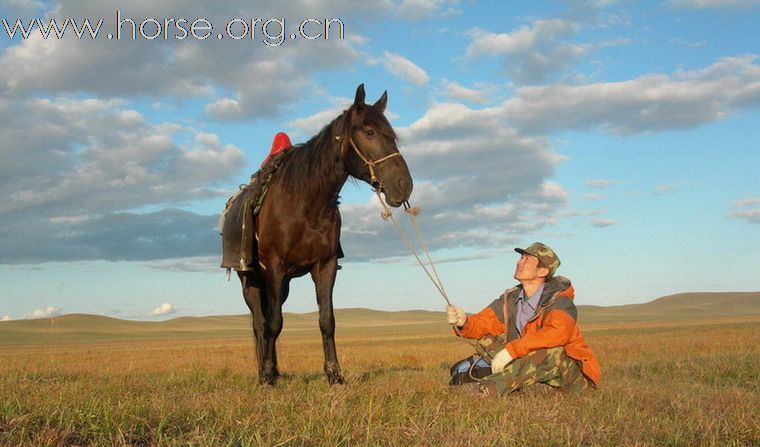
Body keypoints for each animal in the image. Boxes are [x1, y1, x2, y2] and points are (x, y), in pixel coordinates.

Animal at [227, 85, 416, 384]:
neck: (305, 202)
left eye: (392, 135)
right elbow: (274, 323)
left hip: (282, 285)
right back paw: (265, 372)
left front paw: (334, 374)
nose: (403, 185)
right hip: (251, 279)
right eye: (369, 132)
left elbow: (327, 320)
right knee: (260, 323)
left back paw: (276, 370)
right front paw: (267, 375)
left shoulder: (325, 266)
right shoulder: (275, 267)